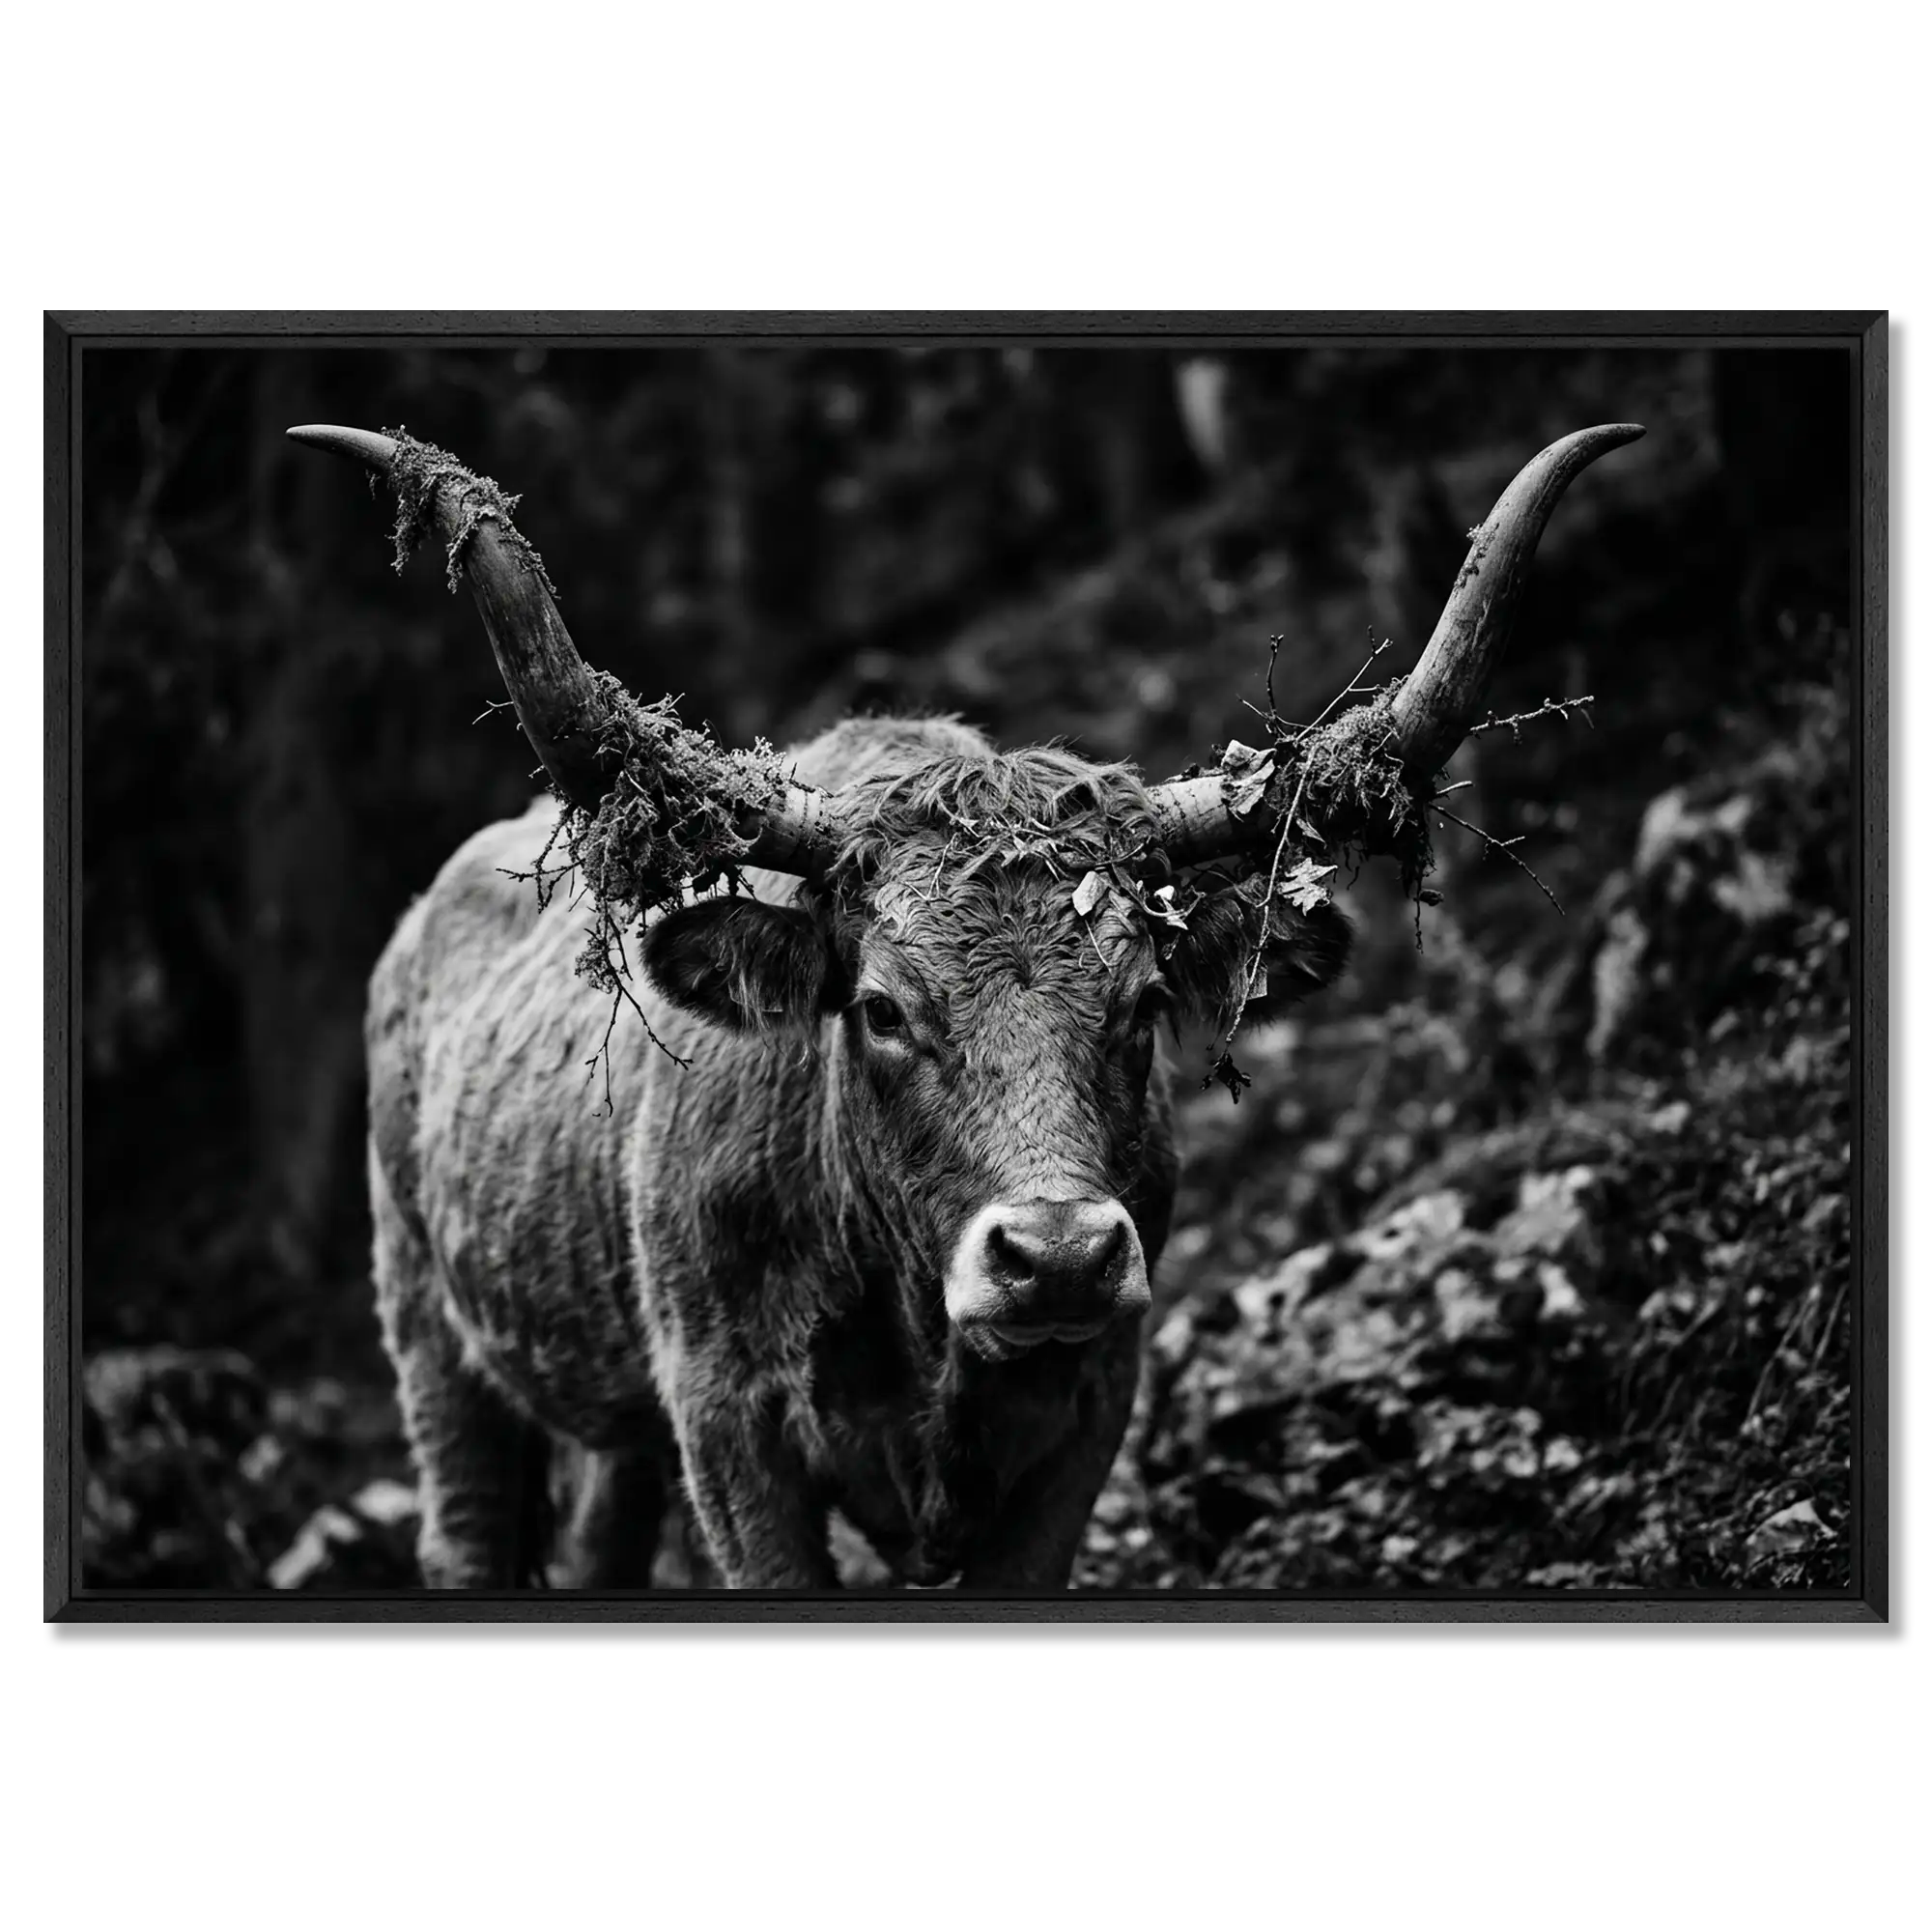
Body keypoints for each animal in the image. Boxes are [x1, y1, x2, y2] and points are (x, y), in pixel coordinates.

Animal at [290, 416, 1641, 1590]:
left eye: (1144, 1003)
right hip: (437, 1348)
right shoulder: (731, 1428)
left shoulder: (1086, 1412)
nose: (1057, 1256)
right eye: (881, 1008)